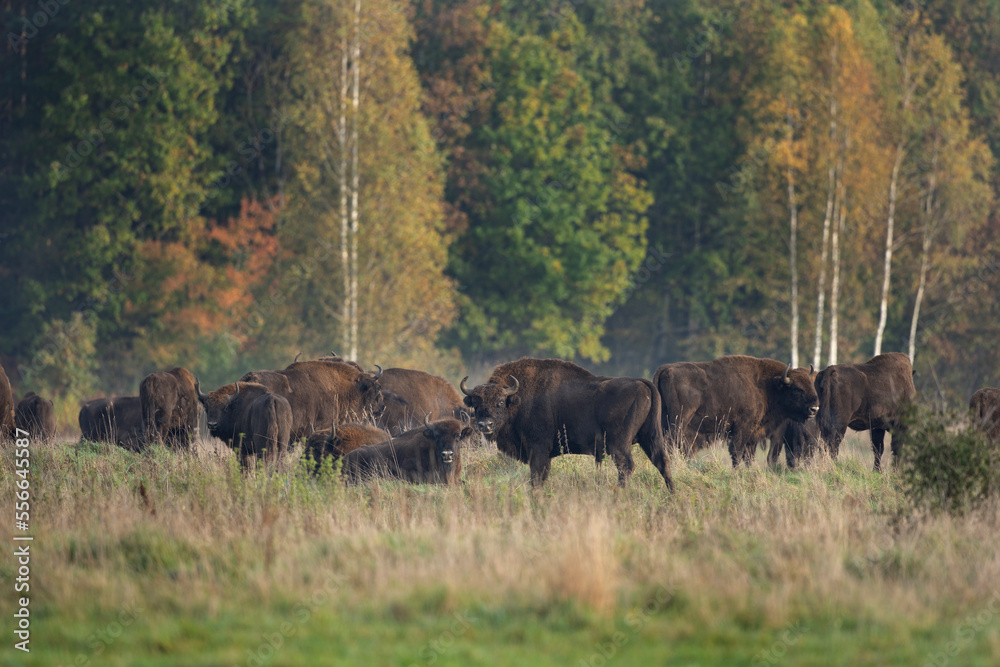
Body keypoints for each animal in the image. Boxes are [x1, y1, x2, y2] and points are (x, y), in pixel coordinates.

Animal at [460, 360, 672, 490]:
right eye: (476, 404)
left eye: (500, 402)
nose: (485, 424)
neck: (518, 399)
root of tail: (642, 383)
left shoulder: (538, 450)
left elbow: (537, 478)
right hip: (650, 438)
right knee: (661, 462)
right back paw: (672, 494)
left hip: (619, 444)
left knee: (626, 467)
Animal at [656, 354, 820, 470]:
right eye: (796, 389)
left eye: (812, 385)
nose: (814, 409)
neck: (769, 386)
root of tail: (665, 370)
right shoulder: (742, 428)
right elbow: (737, 452)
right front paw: (736, 471)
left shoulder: (753, 434)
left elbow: (748, 456)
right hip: (678, 421)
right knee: (670, 443)